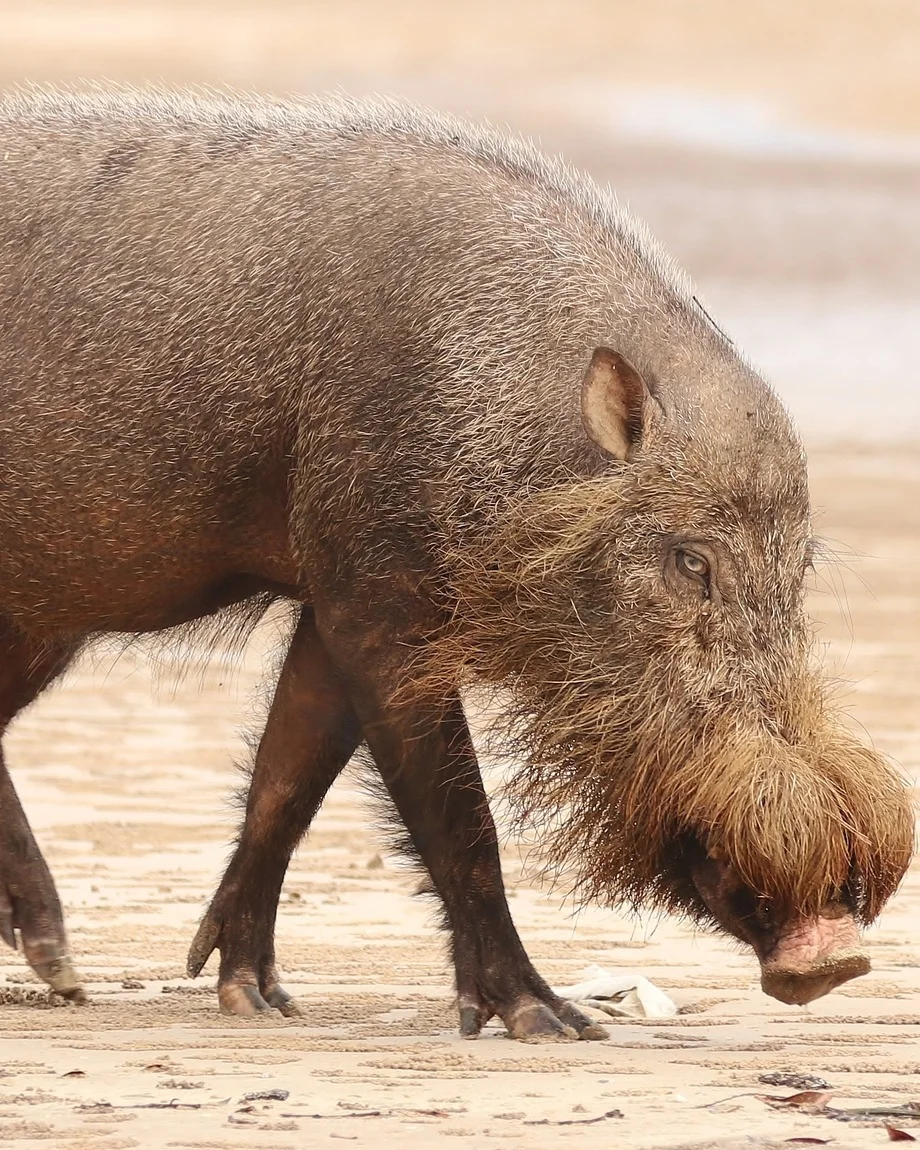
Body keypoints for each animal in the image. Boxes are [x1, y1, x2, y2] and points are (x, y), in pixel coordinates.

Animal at [0, 88, 913, 1040]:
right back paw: (59, 968)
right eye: (691, 562)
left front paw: (258, 998)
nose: (834, 953)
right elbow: (462, 821)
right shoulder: (376, 599)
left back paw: (64, 972)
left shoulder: (333, 606)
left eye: (798, 569)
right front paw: (551, 1022)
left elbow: (285, 786)